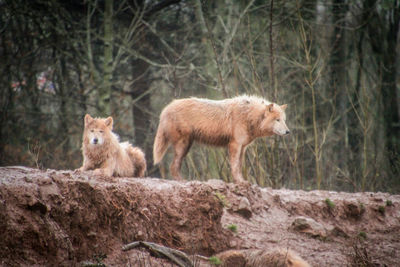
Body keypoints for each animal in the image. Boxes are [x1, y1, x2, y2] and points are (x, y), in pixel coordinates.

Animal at [152, 95, 290, 183]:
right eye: (277, 120)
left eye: (284, 120)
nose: (288, 132)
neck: (248, 116)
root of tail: (166, 109)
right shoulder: (235, 145)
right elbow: (235, 167)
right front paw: (240, 182)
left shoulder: (242, 148)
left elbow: (239, 166)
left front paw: (240, 181)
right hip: (183, 146)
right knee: (173, 166)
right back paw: (181, 180)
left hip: (186, 146)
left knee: (173, 166)